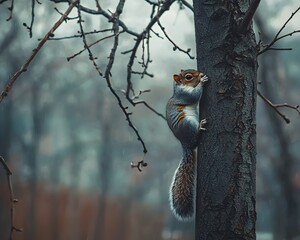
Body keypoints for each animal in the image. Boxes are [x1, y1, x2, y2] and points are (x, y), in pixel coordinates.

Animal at [165, 68, 207, 220]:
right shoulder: (185, 95)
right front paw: (202, 81)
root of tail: (185, 144)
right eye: (188, 77)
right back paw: (200, 127)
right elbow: (194, 96)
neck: (179, 88)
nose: (201, 74)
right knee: (195, 139)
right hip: (188, 123)